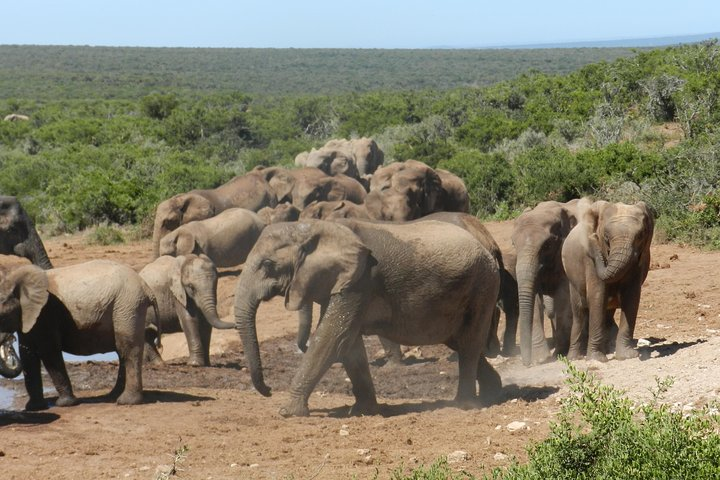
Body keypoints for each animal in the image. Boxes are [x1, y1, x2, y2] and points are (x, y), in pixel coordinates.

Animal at [0, 260, 155, 410]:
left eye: (2, 316)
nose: (9, 341)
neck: (13, 278)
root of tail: (145, 286)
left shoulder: (46, 312)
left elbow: (49, 352)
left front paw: (65, 404)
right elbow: (28, 354)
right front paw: (34, 408)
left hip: (128, 306)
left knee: (128, 348)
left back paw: (126, 401)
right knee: (122, 350)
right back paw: (113, 396)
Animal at [234, 219, 502, 417]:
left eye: (268, 264)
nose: (268, 390)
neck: (317, 227)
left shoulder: (360, 281)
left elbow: (331, 338)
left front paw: (287, 412)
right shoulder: (344, 284)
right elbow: (349, 344)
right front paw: (363, 411)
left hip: (482, 286)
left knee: (469, 343)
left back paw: (464, 405)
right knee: (460, 342)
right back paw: (494, 392)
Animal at [512, 199, 579, 366]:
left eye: (547, 245)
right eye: (513, 244)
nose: (526, 364)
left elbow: (564, 296)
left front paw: (559, 353)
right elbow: (535, 299)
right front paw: (540, 359)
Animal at [561, 198, 654, 362]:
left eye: (640, 236)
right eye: (605, 237)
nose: (592, 238)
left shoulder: (640, 259)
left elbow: (632, 297)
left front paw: (627, 356)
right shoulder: (589, 262)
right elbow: (597, 296)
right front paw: (597, 359)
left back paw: (608, 349)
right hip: (572, 279)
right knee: (579, 313)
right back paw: (574, 358)